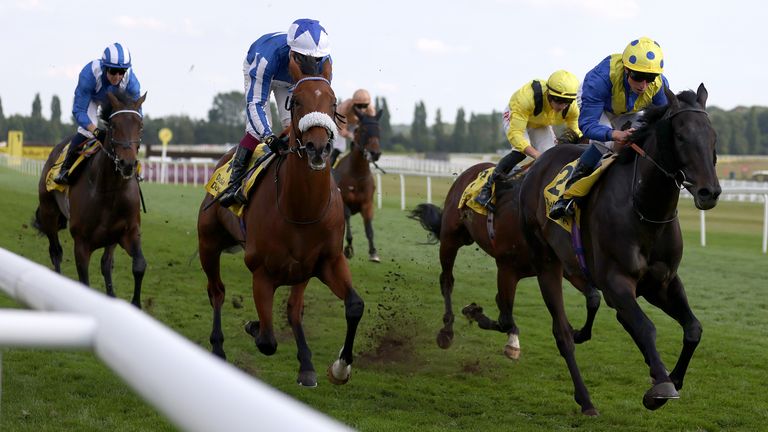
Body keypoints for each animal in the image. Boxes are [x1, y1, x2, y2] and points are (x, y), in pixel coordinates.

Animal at [33, 90, 147, 308]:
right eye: (113, 125)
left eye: (140, 125)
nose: (127, 164)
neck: (109, 190)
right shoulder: (82, 243)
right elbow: (84, 281)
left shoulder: (128, 231)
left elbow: (138, 265)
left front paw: (135, 304)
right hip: (49, 213)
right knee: (56, 252)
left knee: (106, 263)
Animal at [198, 68, 366, 388]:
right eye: (296, 101)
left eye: (333, 102)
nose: (317, 148)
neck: (301, 209)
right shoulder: (261, 272)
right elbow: (266, 340)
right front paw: (253, 325)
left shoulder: (326, 262)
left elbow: (354, 305)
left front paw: (339, 367)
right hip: (208, 245)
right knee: (217, 292)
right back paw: (218, 348)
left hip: (300, 271)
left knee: (293, 309)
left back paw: (306, 365)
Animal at [336, 109, 384, 262]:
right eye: (363, 130)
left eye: (378, 130)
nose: (375, 153)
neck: (357, 175)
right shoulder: (343, 201)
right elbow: (347, 220)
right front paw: (348, 248)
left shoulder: (367, 204)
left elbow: (369, 229)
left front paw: (373, 252)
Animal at [412, 165, 604, 362]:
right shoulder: (507, 267)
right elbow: (504, 319)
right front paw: (473, 312)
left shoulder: (560, 267)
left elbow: (594, 298)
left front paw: (576, 332)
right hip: (451, 238)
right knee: (447, 280)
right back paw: (447, 331)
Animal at [520, 85, 724, 416]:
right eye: (681, 136)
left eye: (713, 136)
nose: (710, 192)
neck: (644, 209)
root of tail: (541, 161)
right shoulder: (616, 281)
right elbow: (645, 327)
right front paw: (660, 387)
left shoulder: (662, 282)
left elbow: (693, 328)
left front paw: (674, 378)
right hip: (545, 261)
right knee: (562, 333)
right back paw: (585, 399)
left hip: (572, 263)